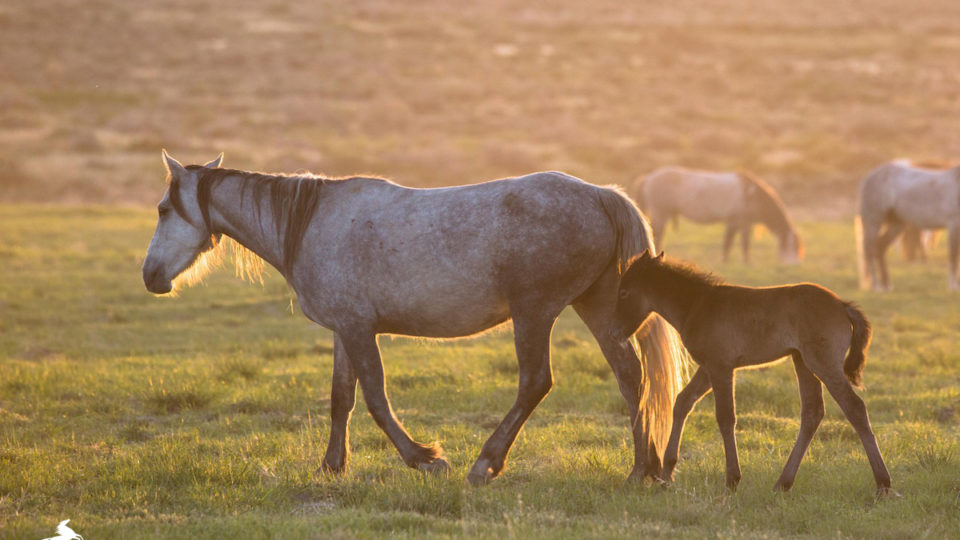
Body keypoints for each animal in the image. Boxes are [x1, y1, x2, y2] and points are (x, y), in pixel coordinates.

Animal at [142, 151, 691, 485]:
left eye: (164, 208)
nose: (150, 276)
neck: (310, 221)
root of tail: (600, 193)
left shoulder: (360, 330)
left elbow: (376, 401)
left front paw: (425, 459)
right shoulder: (345, 331)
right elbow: (341, 399)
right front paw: (332, 466)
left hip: (534, 313)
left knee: (536, 382)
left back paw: (485, 464)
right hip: (596, 308)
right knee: (632, 378)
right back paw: (641, 470)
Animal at [615, 251, 893, 495]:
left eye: (624, 292)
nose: (617, 332)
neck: (697, 304)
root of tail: (843, 305)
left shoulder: (721, 367)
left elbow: (725, 417)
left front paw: (732, 479)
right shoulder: (708, 367)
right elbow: (683, 401)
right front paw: (667, 473)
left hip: (823, 364)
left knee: (854, 407)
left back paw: (883, 483)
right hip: (802, 362)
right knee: (812, 412)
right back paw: (783, 483)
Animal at [634, 167, 803, 264]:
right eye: (793, 247)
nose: (795, 265)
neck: (752, 195)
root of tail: (648, 178)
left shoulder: (744, 223)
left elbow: (741, 242)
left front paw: (744, 261)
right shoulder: (737, 221)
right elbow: (732, 242)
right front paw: (730, 261)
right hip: (660, 212)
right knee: (657, 234)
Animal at [856, 160, 960, 291]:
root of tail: (869, 177)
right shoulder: (954, 225)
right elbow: (954, 255)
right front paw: (953, 286)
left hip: (896, 224)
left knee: (881, 246)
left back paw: (887, 285)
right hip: (873, 221)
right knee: (869, 250)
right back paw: (876, 286)